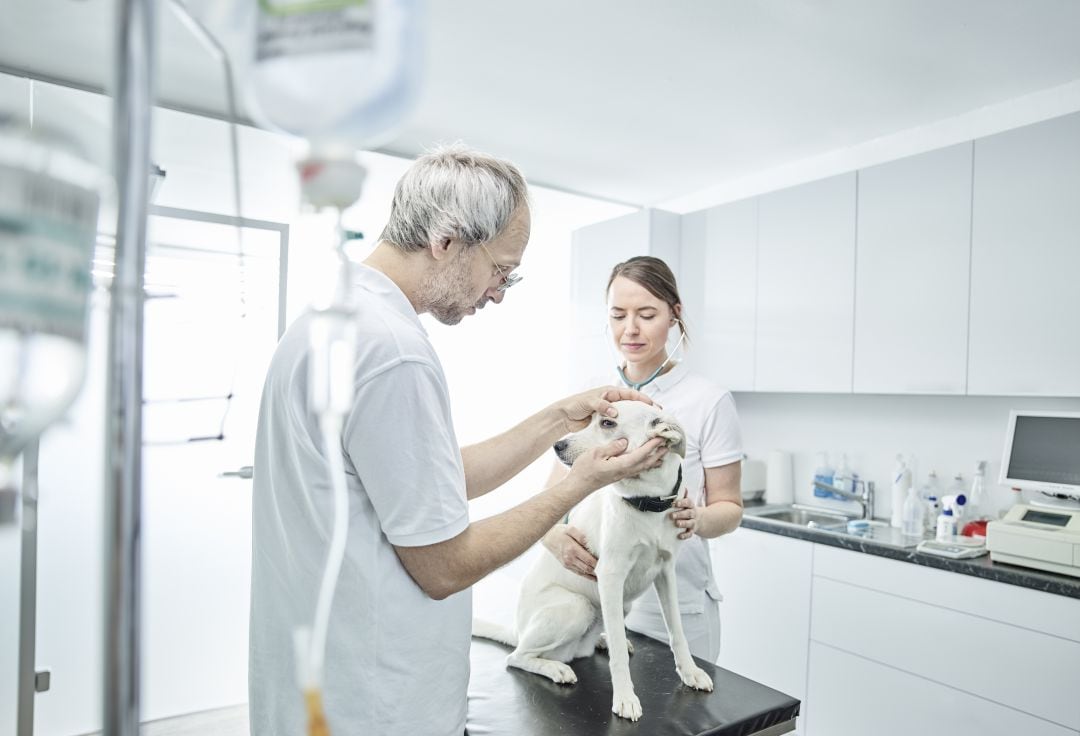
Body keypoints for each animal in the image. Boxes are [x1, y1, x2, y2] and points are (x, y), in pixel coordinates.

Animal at [475, 399, 712, 721]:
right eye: (588, 419)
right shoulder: (610, 576)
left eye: (607, 423)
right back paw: (556, 668)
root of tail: (518, 630)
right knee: (517, 656)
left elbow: (676, 630)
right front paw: (625, 698)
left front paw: (690, 672)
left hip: (622, 604)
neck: (646, 504)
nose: (557, 445)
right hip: (577, 607)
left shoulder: (666, 572)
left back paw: (602, 640)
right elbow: (619, 658)